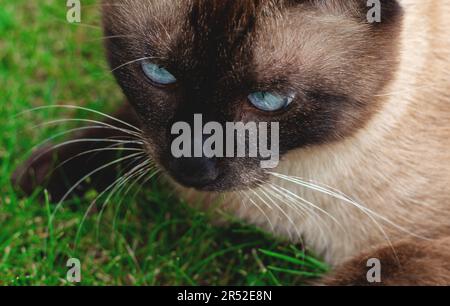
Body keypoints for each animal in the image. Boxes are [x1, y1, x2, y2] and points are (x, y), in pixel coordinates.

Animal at [13, 1, 450, 286]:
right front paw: (35, 180)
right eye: (157, 74)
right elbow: (121, 134)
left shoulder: (420, 249)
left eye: (269, 100)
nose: (190, 166)